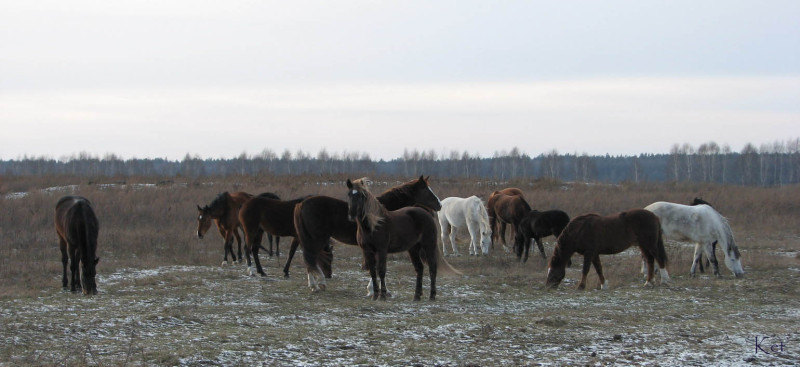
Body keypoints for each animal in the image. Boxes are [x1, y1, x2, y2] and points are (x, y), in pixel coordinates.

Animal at [290, 175, 440, 294]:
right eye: (426, 190)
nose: (439, 205)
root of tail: (301, 203)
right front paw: (374, 289)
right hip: (316, 238)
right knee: (310, 258)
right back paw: (318, 284)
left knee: (309, 259)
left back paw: (314, 285)